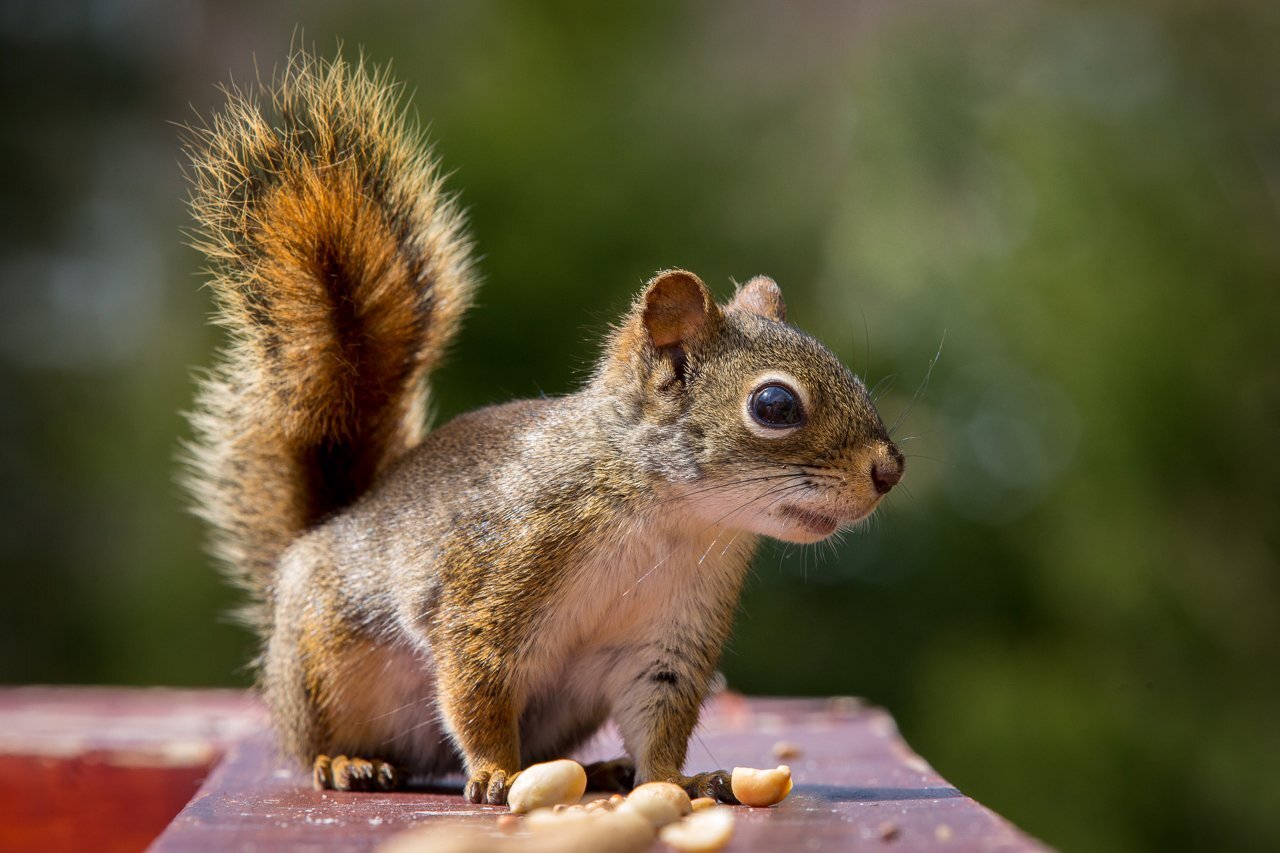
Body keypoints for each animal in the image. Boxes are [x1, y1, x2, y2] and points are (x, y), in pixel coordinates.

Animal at [182, 51, 904, 806]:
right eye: (774, 407)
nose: (890, 470)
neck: (670, 516)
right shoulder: (492, 582)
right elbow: (476, 687)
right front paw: (498, 772)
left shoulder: (670, 637)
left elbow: (660, 714)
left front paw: (676, 780)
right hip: (323, 663)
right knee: (313, 742)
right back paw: (347, 761)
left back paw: (598, 769)